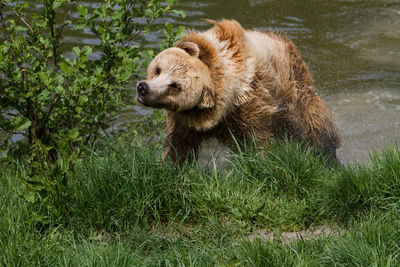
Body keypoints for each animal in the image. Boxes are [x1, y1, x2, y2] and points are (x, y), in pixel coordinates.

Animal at [136, 19, 340, 163]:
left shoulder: (251, 107)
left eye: (175, 86)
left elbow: (258, 142)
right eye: (158, 69)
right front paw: (167, 166)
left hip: (294, 92)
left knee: (314, 126)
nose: (144, 88)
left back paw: (329, 156)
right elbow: (178, 146)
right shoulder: (186, 120)